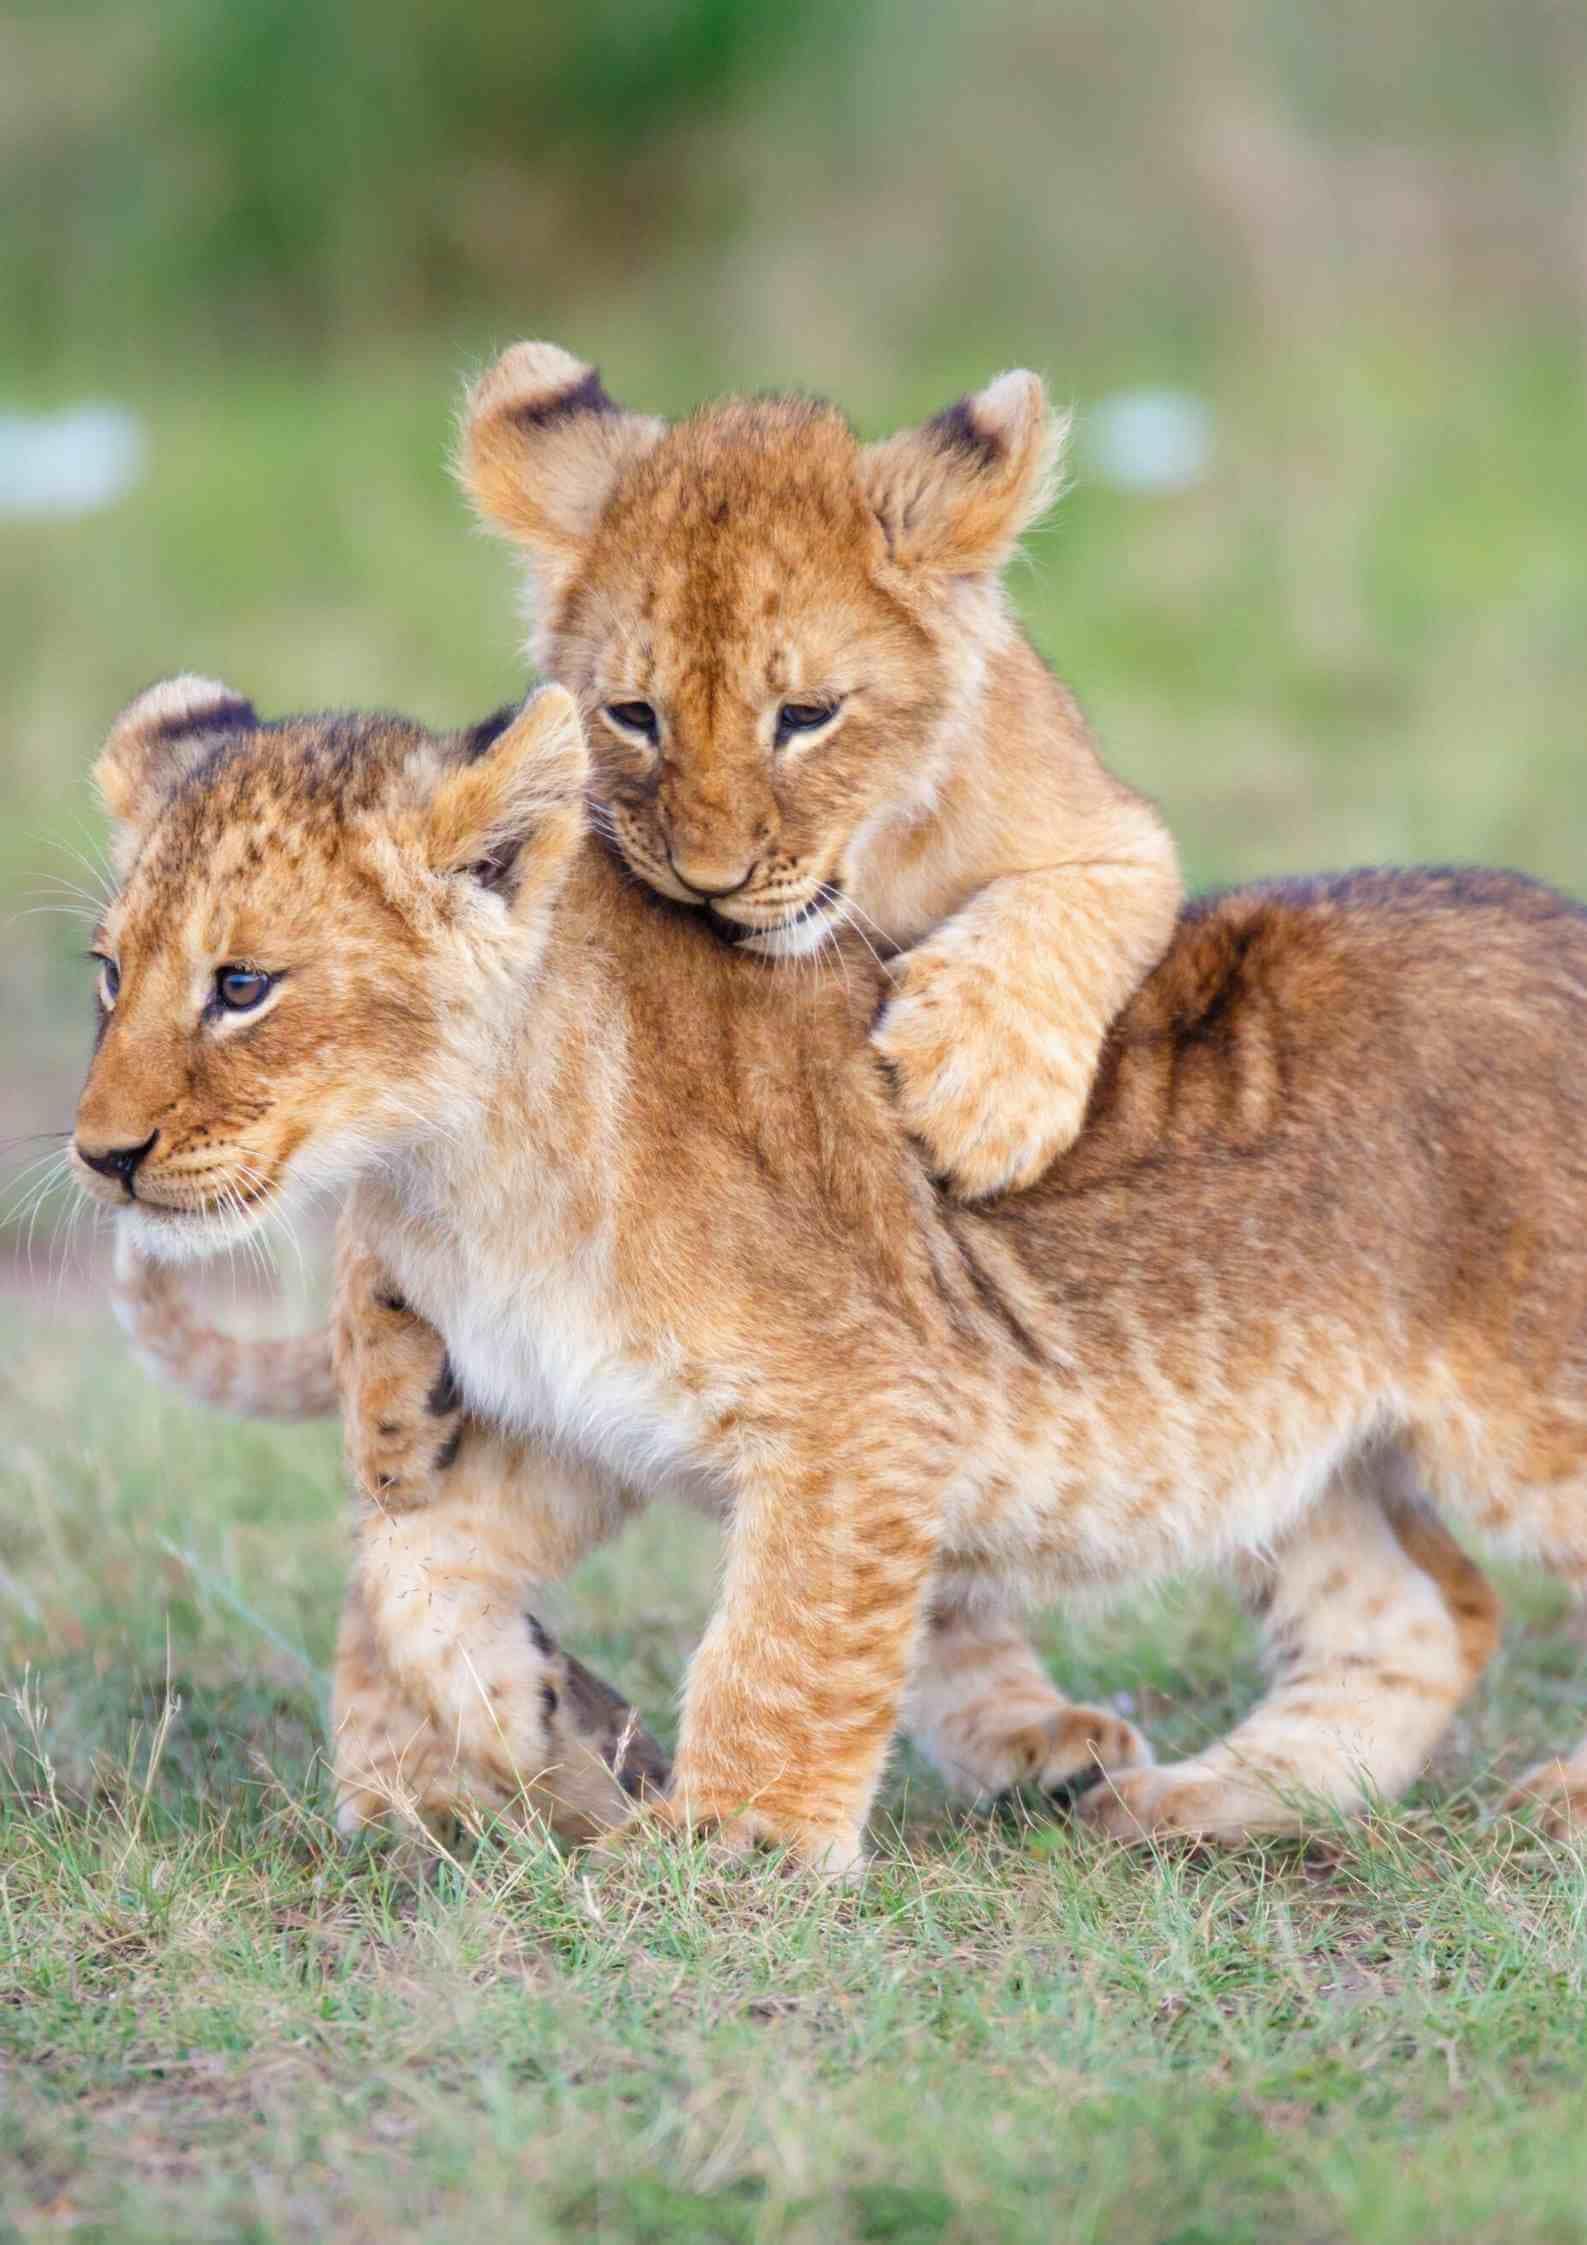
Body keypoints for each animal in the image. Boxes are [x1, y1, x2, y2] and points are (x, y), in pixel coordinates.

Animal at [74, 683, 1587, 1864]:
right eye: (107, 974)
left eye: (244, 985)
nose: (102, 1156)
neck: (449, 1169)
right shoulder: (563, 1416)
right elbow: (410, 1569)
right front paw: (534, 1721)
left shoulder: (862, 1406)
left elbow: (782, 1647)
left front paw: (731, 1842)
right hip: (1285, 1451)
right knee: (1420, 1616)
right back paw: (1207, 1799)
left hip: (1525, 1415)